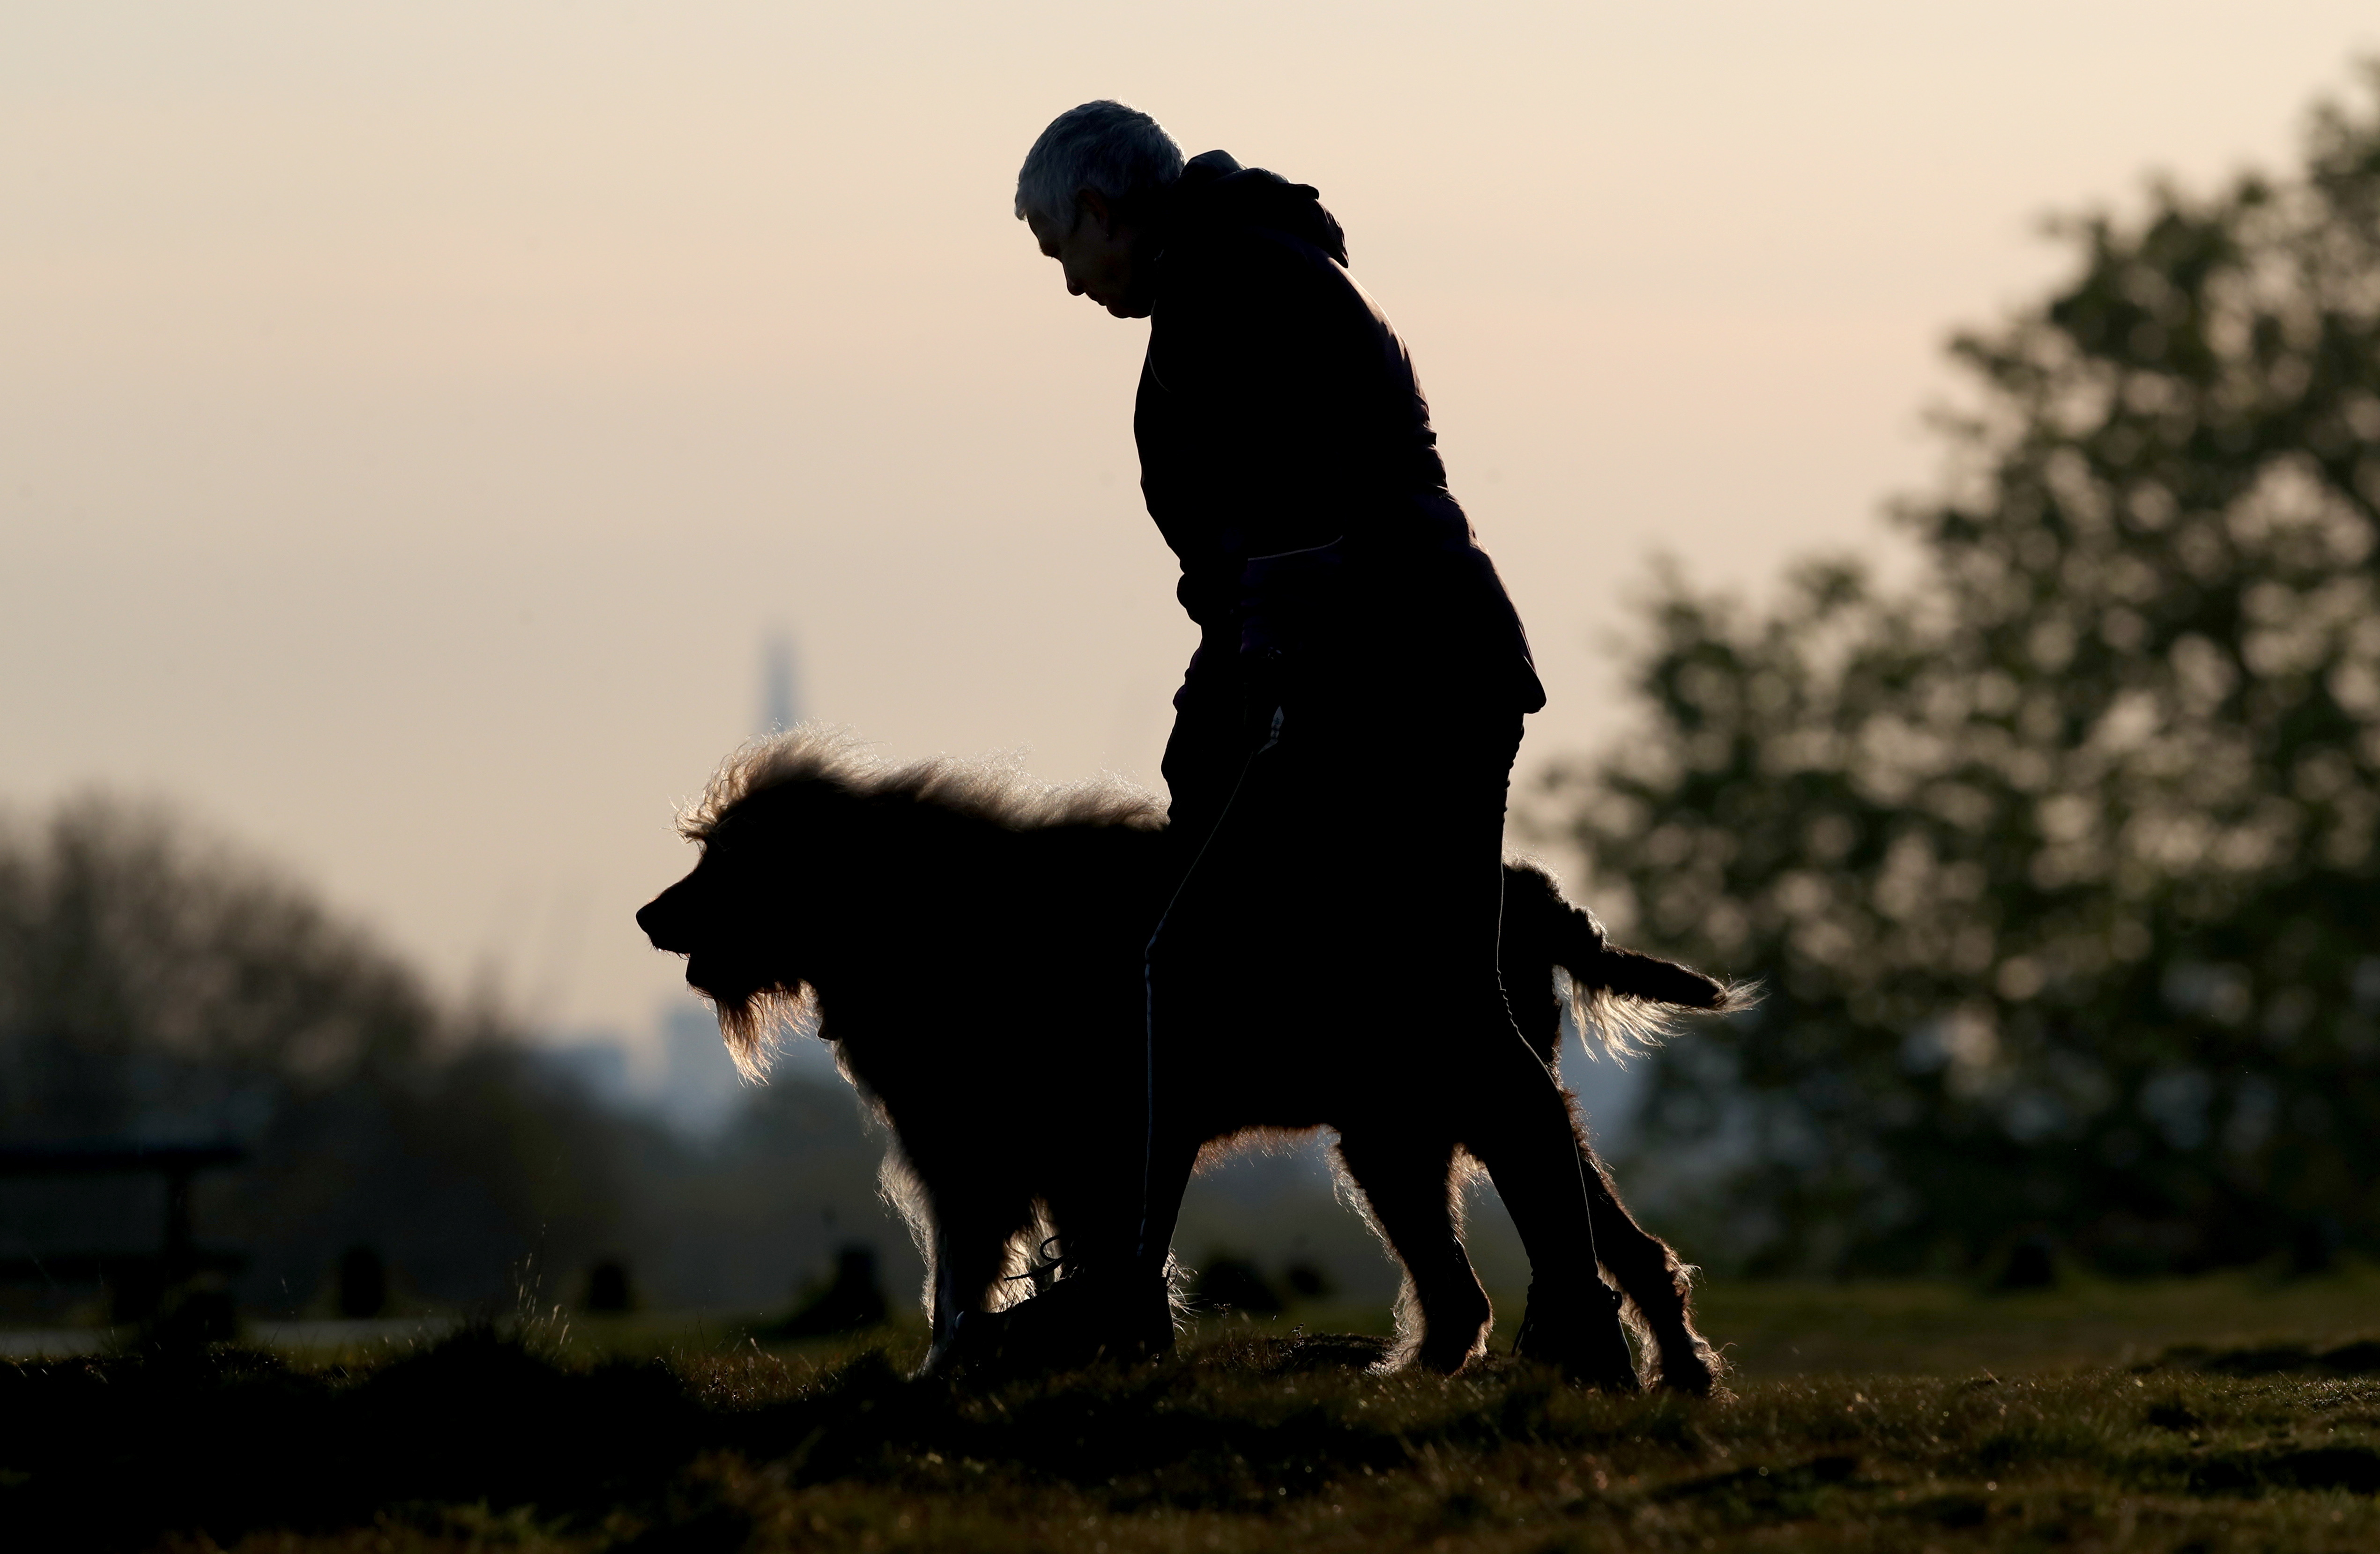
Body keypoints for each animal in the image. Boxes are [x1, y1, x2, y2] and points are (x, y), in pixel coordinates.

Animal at [642, 733, 1742, 1390]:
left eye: (723, 860)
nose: (651, 915)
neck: (926, 910)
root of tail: (1531, 888)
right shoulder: (1036, 1159)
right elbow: (1025, 1271)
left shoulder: (1013, 1155)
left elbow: (975, 1281)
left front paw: (971, 1371)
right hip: (1410, 1130)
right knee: (1537, 1266)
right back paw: (1651, 1370)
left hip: (1454, 1098)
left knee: (1531, 1257)